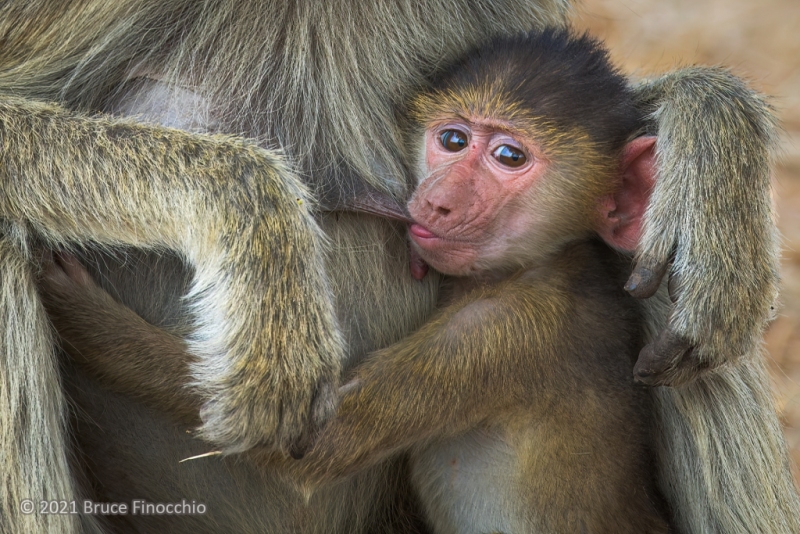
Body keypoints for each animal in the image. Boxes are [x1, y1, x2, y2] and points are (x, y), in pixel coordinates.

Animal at [0, 1, 797, 533]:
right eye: (452, 141)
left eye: (508, 157)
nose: (438, 204)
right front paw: (254, 217)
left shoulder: (500, 331)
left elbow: (320, 445)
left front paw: (710, 132)